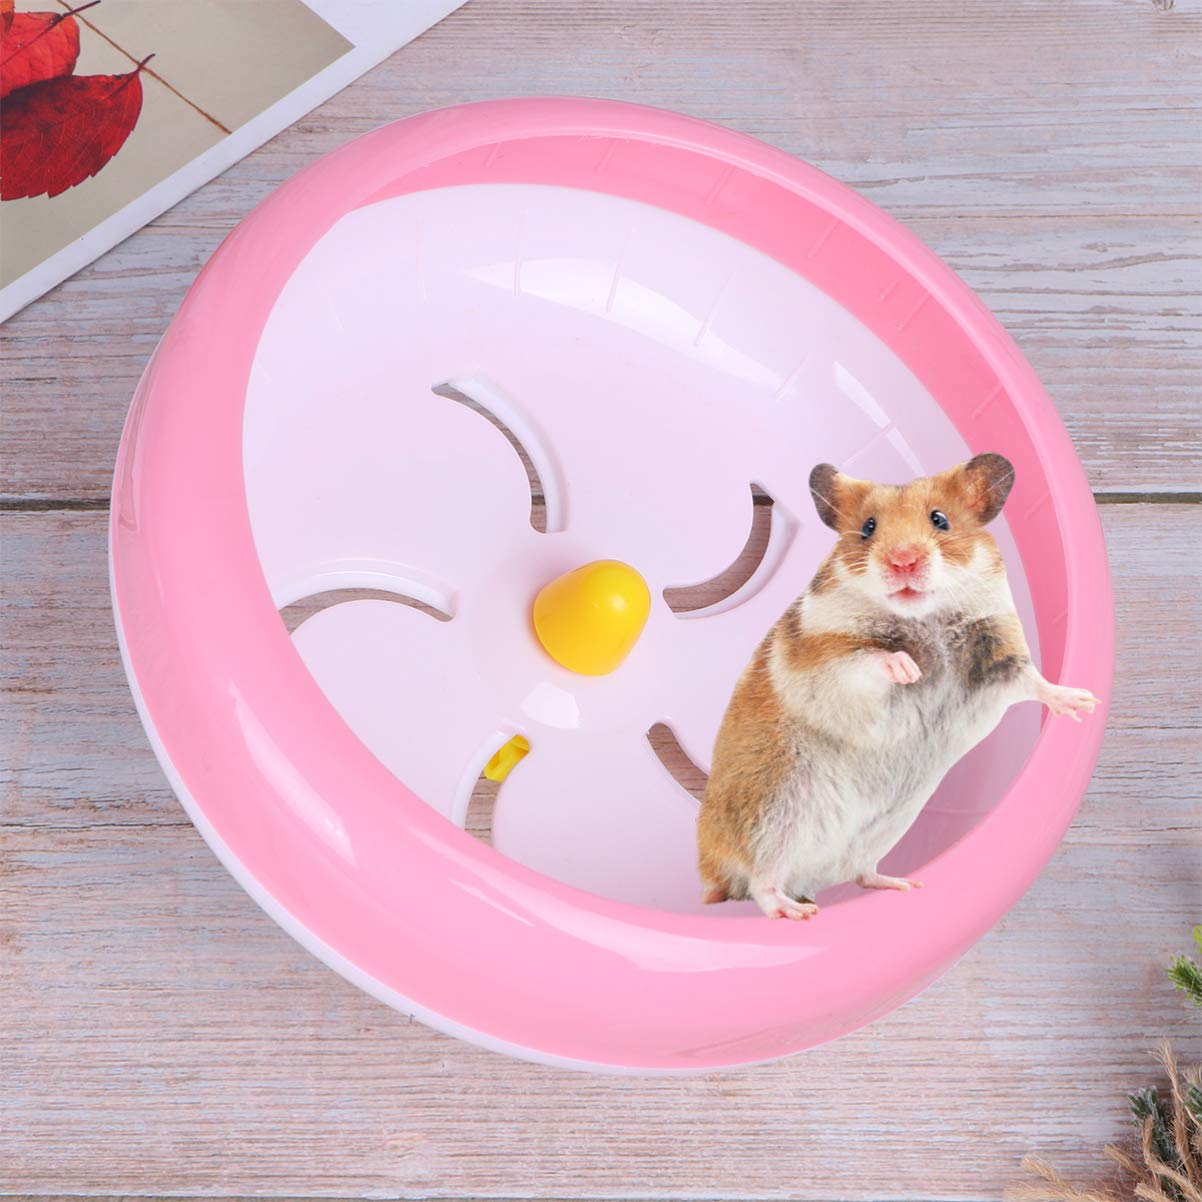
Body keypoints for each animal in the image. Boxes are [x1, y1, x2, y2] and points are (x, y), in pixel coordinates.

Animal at [696, 453, 1099, 921]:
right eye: (868, 527)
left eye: (940, 520)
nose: (903, 561)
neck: (925, 617)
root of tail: (710, 869)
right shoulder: (824, 659)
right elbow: (869, 660)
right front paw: (909, 669)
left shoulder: (999, 653)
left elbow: (1033, 681)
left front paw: (1085, 702)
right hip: (773, 817)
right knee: (760, 884)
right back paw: (796, 911)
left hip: (878, 830)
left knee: (858, 873)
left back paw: (904, 884)